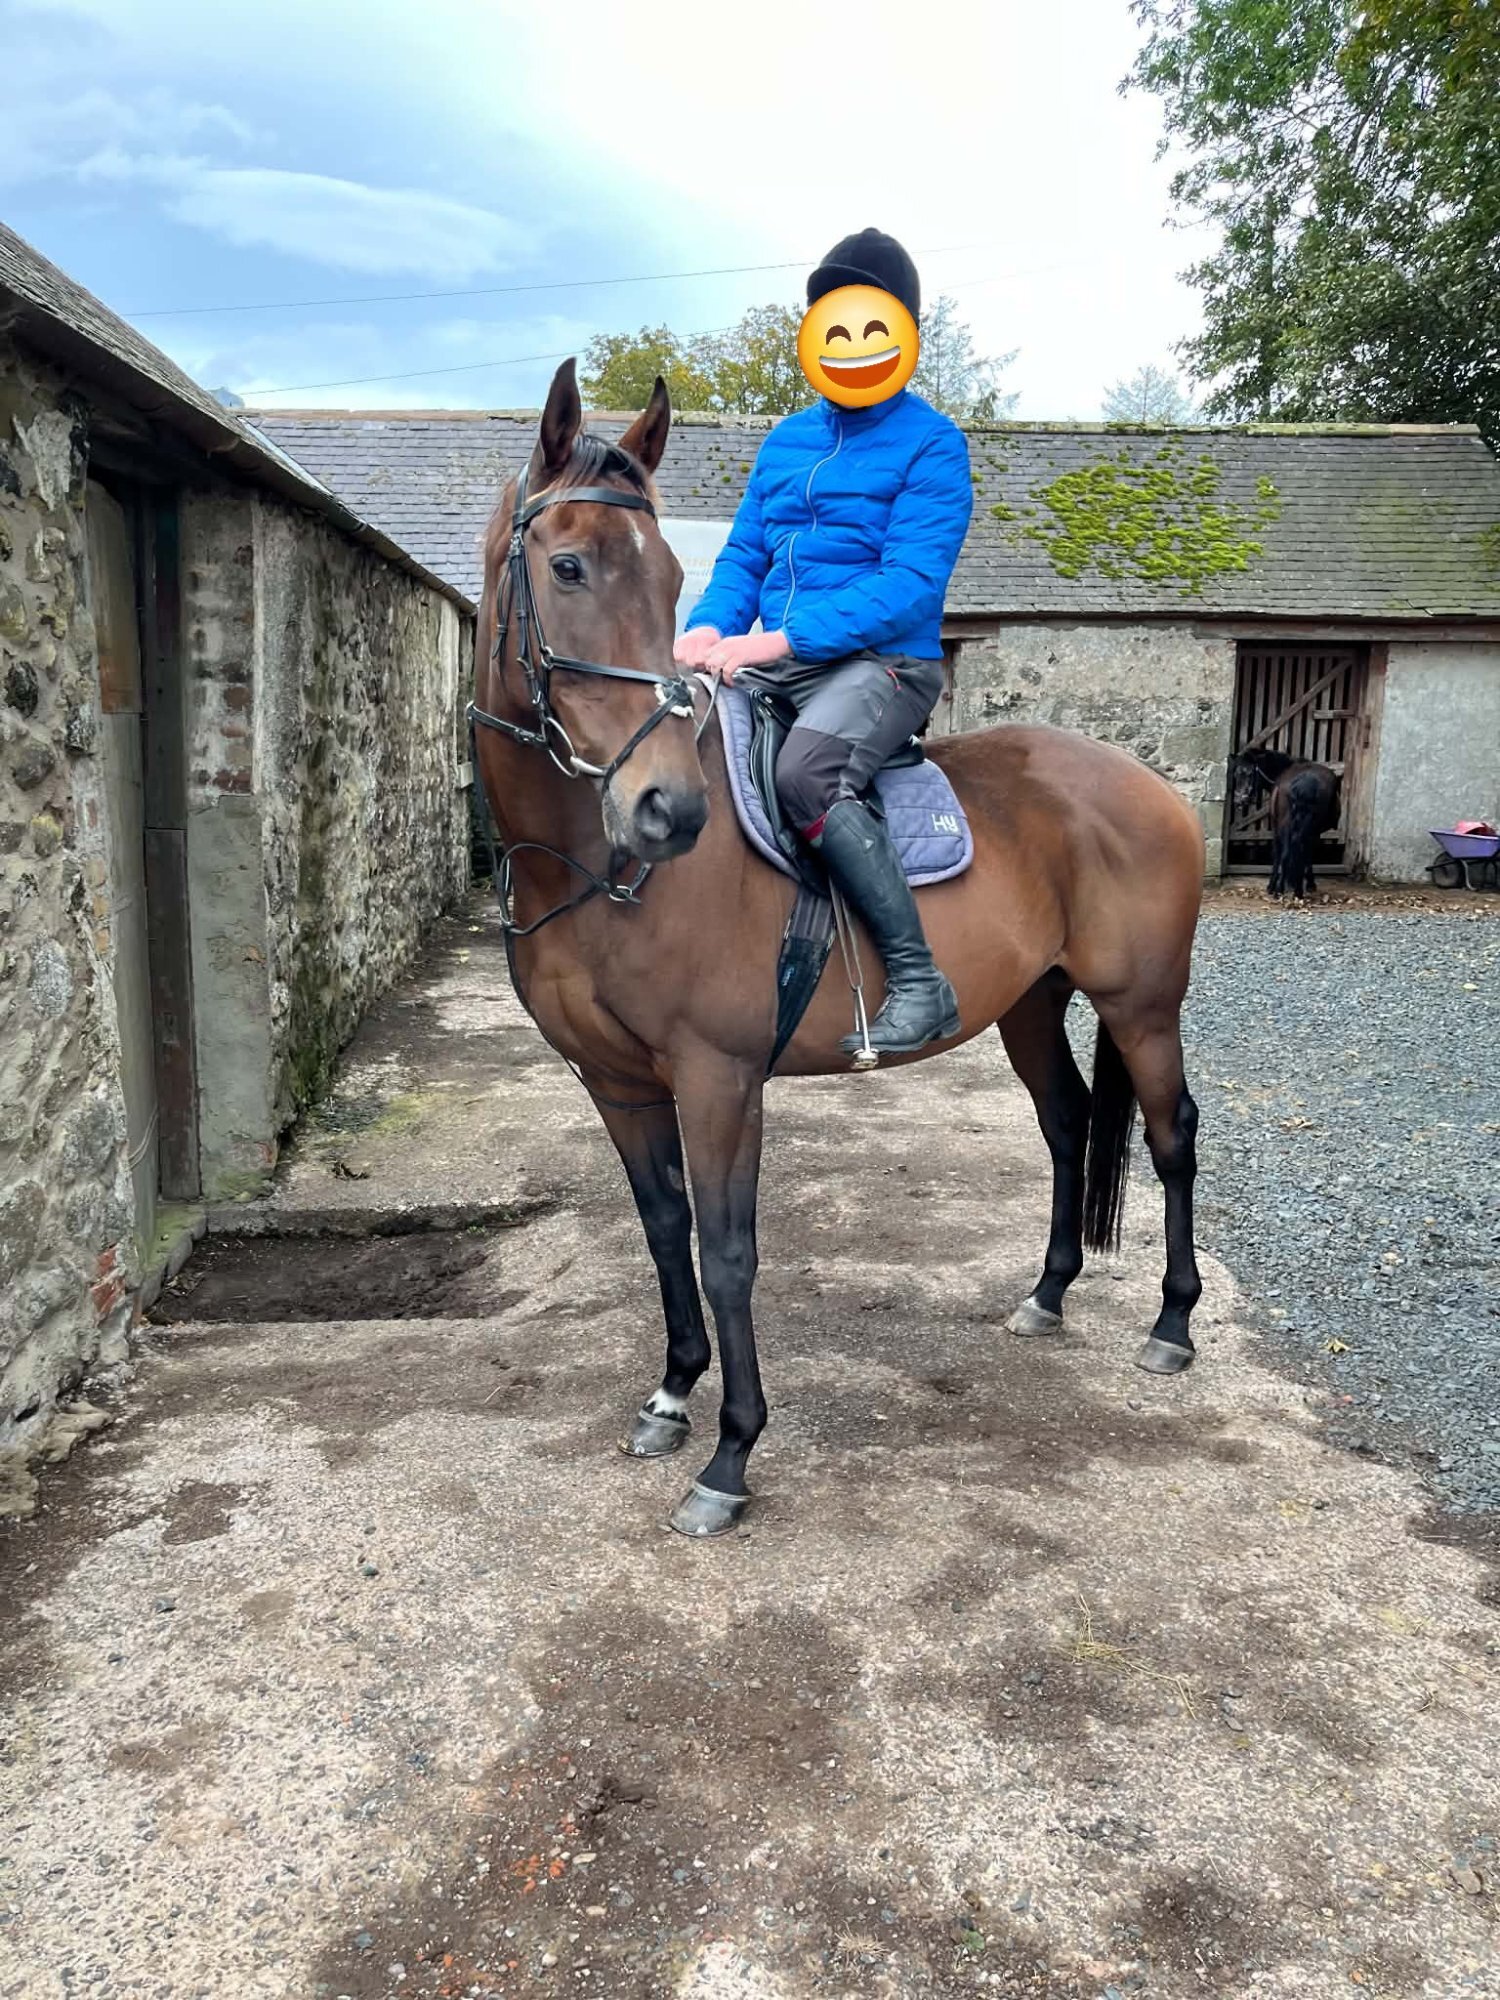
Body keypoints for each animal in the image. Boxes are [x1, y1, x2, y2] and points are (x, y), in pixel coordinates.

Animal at [471, 360, 1207, 1538]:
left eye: (670, 578)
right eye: (569, 564)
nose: (669, 810)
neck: (596, 867)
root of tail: (1147, 785)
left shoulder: (720, 1078)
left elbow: (727, 1252)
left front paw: (730, 1455)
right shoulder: (617, 1082)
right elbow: (663, 1228)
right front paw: (671, 1394)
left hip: (1141, 1006)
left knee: (1173, 1137)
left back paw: (1173, 1326)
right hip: (1032, 1004)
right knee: (1064, 1125)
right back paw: (1047, 1296)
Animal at [1231, 748, 1342, 899]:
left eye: (1250, 773)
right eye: (1236, 774)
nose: (1239, 801)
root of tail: (1305, 782)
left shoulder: (1277, 827)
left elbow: (1278, 854)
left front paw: (1272, 886)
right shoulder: (1313, 832)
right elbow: (1306, 855)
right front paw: (1309, 884)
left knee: (1284, 852)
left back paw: (1281, 889)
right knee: (1296, 850)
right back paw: (1294, 890)